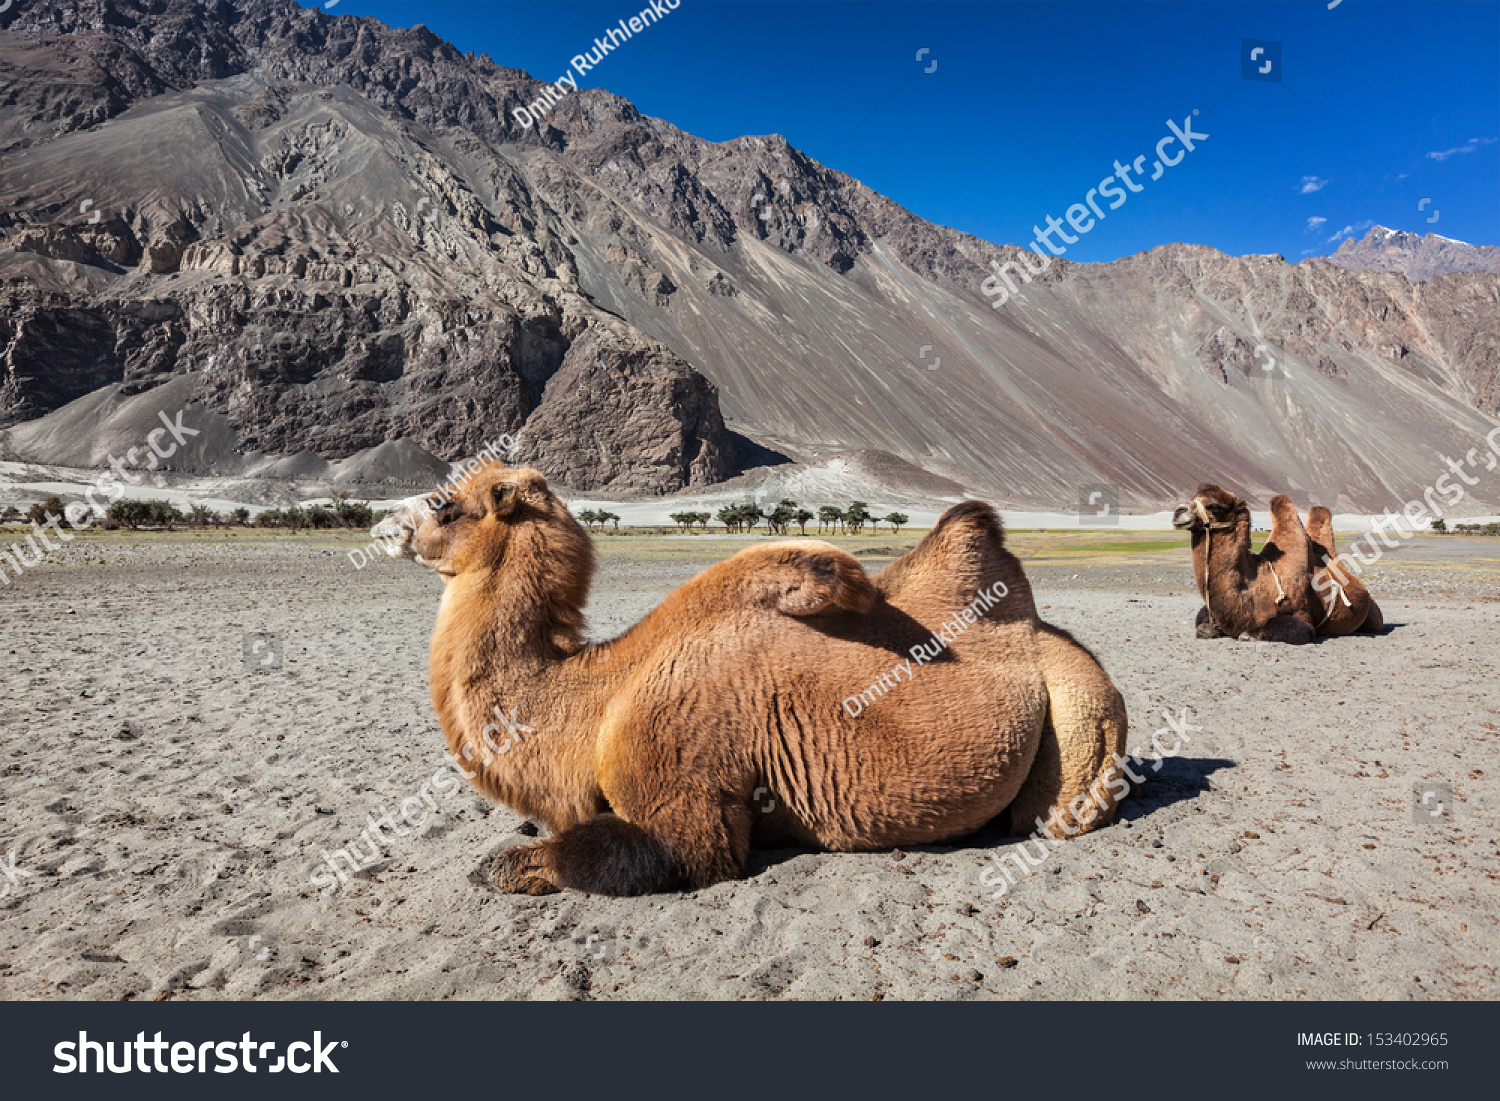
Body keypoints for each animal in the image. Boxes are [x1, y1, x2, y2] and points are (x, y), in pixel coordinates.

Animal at [372, 462, 1128, 900]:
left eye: (443, 504)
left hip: (1083, 720)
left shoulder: (685, 802)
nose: (382, 524)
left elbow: (607, 856)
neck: (591, 701)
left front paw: (501, 865)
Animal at [1170, 486, 1314, 648]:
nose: (1179, 510)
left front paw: (1248, 635)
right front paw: (1207, 630)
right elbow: (1201, 619)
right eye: (1193, 498)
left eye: (1214, 506)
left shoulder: (1302, 615)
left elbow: (1291, 628)